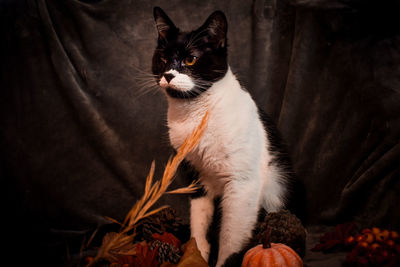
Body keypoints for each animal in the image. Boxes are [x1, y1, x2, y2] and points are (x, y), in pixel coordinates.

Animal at [152, 6, 296, 267]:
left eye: (190, 59)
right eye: (164, 59)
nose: (168, 74)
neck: (194, 113)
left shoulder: (243, 184)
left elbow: (231, 238)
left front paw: (223, 261)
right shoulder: (195, 178)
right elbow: (199, 225)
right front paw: (196, 255)